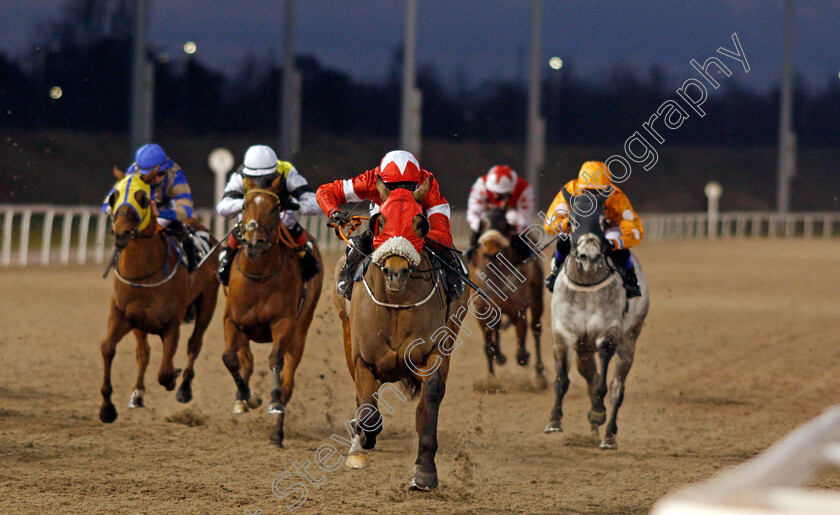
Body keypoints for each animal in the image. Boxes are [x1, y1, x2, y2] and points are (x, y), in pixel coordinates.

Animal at [98, 168, 220, 424]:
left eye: (143, 198)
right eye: (113, 197)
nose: (121, 233)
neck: (144, 274)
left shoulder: (172, 324)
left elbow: (164, 371)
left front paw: (174, 377)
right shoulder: (125, 317)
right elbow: (110, 349)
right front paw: (107, 407)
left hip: (208, 302)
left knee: (195, 344)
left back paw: (184, 388)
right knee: (144, 353)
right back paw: (138, 394)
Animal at [221, 174, 324, 448]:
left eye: (275, 208)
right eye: (244, 206)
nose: (254, 242)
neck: (258, 278)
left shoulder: (284, 324)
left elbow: (276, 362)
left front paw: (274, 401)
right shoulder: (231, 320)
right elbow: (230, 358)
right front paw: (246, 396)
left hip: (300, 333)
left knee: (288, 380)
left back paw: (277, 434)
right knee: (245, 358)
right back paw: (241, 400)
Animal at [332, 179, 470, 494]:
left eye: (419, 223)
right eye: (380, 221)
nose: (396, 272)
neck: (396, 304)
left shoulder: (434, 352)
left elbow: (429, 401)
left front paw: (425, 473)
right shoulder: (363, 360)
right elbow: (368, 411)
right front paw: (363, 440)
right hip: (346, 333)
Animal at [470, 208, 548, 390]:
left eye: (505, 224)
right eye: (483, 223)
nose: (491, 250)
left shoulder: (518, 309)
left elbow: (521, 338)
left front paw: (523, 355)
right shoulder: (482, 310)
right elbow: (489, 345)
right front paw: (490, 380)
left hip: (537, 299)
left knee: (536, 329)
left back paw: (539, 375)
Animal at [544, 191, 648, 450]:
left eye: (602, 222)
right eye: (572, 221)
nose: (588, 256)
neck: (586, 285)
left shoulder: (609, 331)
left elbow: (603, 382)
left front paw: (599, 413)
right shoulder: (563, 333)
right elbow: (562, 379)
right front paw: (554, 421)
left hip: (629, 340)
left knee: (617, 388)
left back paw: (608, 434)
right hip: (583, 347)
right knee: (588, 374)